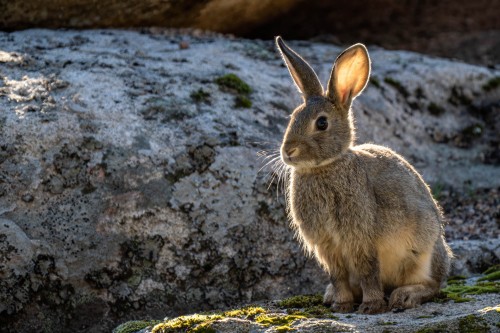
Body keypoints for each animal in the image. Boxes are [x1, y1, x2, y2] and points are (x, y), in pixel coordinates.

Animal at [276, 37, 452, 314]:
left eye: (322, 123)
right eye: (292, 117)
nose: (287, 151)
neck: (325, 166)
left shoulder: (360, 237)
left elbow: (368, 271)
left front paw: (370, 306)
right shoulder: (327, 246)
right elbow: (337, 275)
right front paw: (341, 305)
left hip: (424, 251)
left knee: (433, 285)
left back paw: (404, 296)